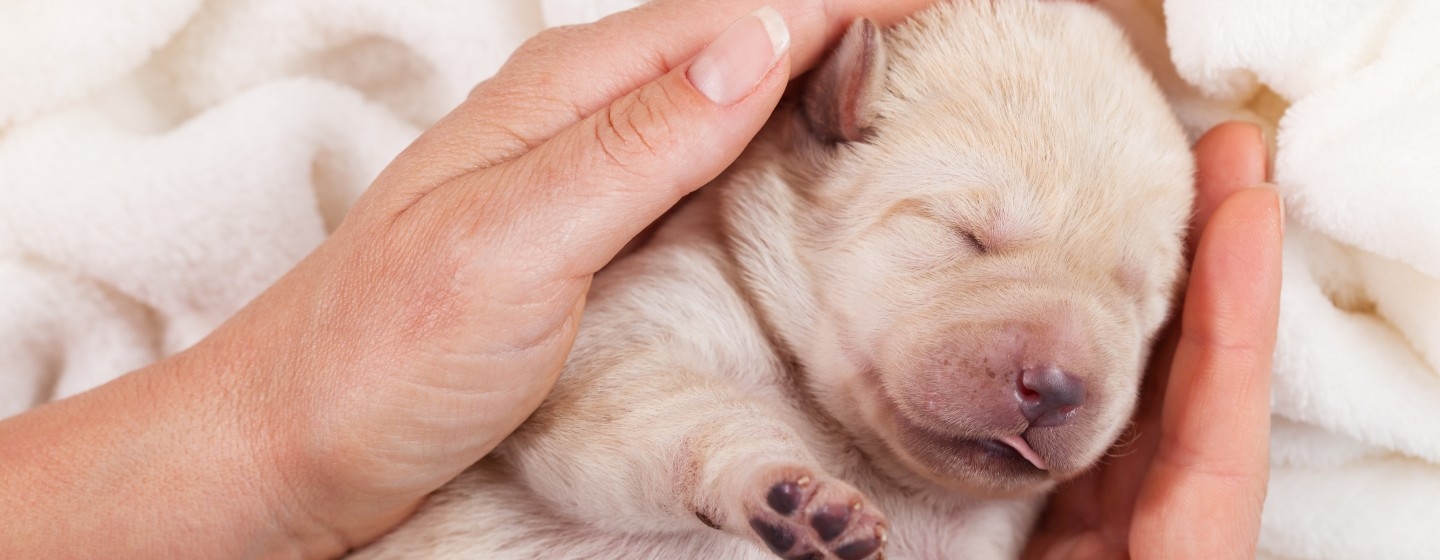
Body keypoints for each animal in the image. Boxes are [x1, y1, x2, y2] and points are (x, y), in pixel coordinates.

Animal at [357, 2, 1192, 555]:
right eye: (967, 236)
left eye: (1137, 300)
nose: (1058, 388)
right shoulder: (628, 333)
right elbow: (665, 411)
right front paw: (792, 490)